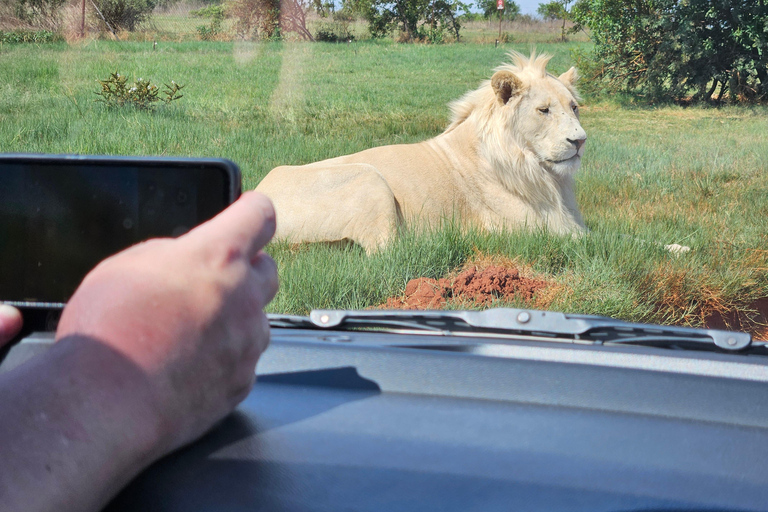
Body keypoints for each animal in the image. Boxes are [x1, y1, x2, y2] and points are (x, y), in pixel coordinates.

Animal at [256, 51, 588, 253]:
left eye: (574, 107)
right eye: (543, 110)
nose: (580, 140)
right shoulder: (531, 229)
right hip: (369, 179)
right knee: (388, 254)